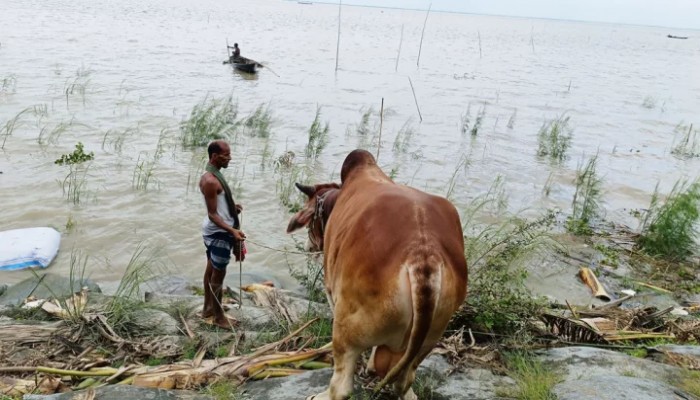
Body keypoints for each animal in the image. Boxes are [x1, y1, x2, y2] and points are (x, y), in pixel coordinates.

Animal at [288, 150, 468, 400]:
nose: (309, 246)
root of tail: (423, 256)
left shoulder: (332, 291)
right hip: (430, 339)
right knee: (405, 382)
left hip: (346, 327)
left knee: (342, 386)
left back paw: (321, 395)